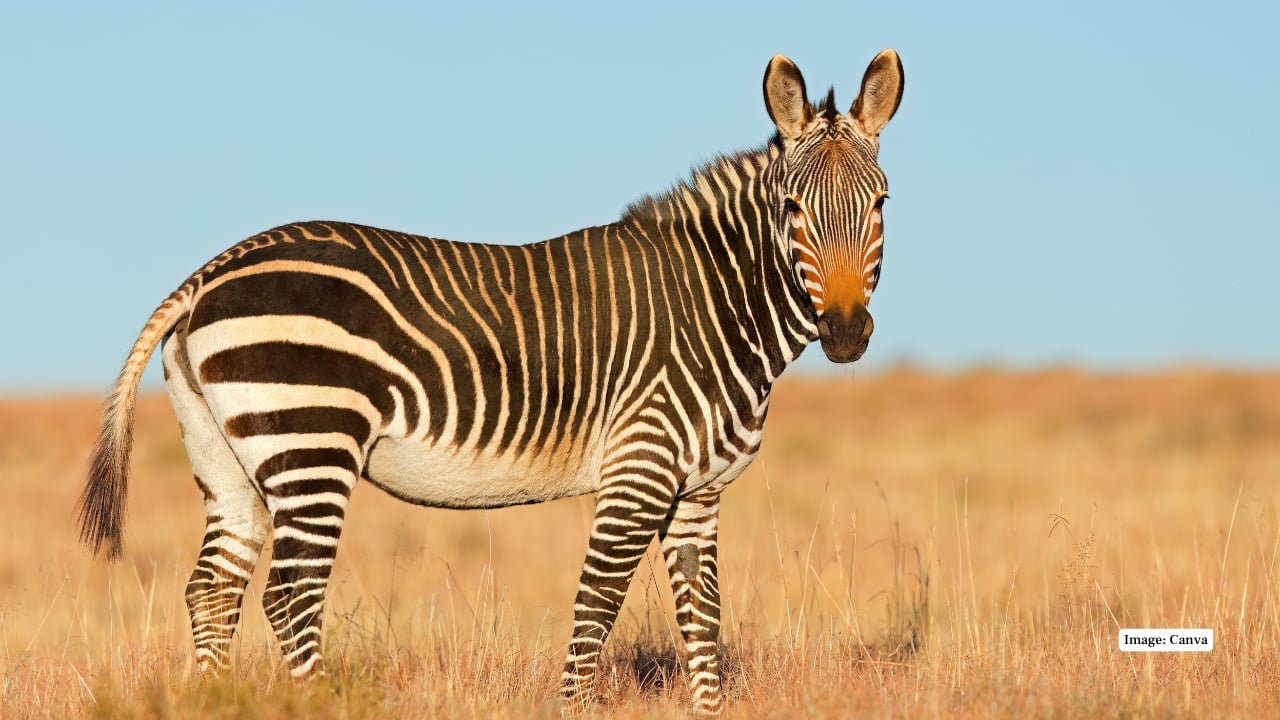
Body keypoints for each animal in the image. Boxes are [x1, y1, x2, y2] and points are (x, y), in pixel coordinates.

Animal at [77, 49, 903, 715]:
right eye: (791, 208)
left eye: (881, 203)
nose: (845, 331)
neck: (718, 303)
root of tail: (208, 274)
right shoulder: (639, 468)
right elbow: (597, 606)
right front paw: (574, 710)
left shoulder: (699, 492)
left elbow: (703, 622)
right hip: (311, 441)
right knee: (289, 595)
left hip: (229, 459)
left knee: (213, 590)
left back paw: (214, 698)